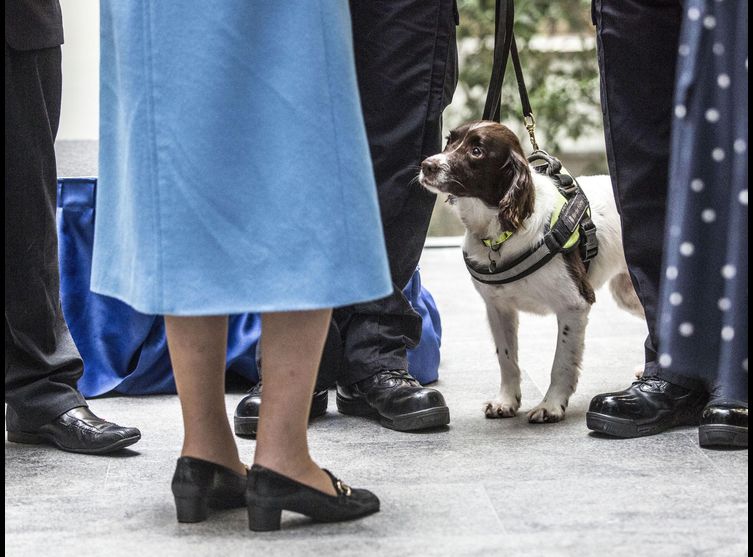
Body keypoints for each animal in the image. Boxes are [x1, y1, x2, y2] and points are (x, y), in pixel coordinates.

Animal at [418, 122, 640, 422]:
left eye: (477, 151)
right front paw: (506, 401)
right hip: (627, 292)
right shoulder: (497, 307)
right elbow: (506, 358)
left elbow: (561, 362)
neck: (501, 233)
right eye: (449, 141)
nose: (426, 165)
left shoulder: (575, 304)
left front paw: (551, 405)